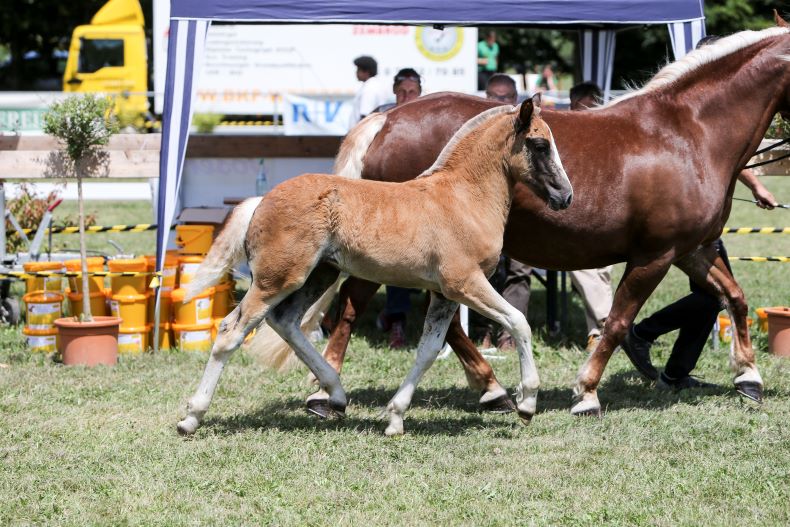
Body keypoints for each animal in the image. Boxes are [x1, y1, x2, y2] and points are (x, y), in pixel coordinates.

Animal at [176, 96, 572, 438]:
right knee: (231, 331)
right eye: (540, 144)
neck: (462, 198)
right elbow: (518, 322)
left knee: (285, 321)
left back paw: (336, 394)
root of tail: (261, 200)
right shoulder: (465, 283)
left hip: (319, 274)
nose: (565, 196)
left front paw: (395, 417)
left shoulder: (444, 294)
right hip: (277, 279)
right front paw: (527, 403)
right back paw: (191, 417)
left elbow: (429, 349)